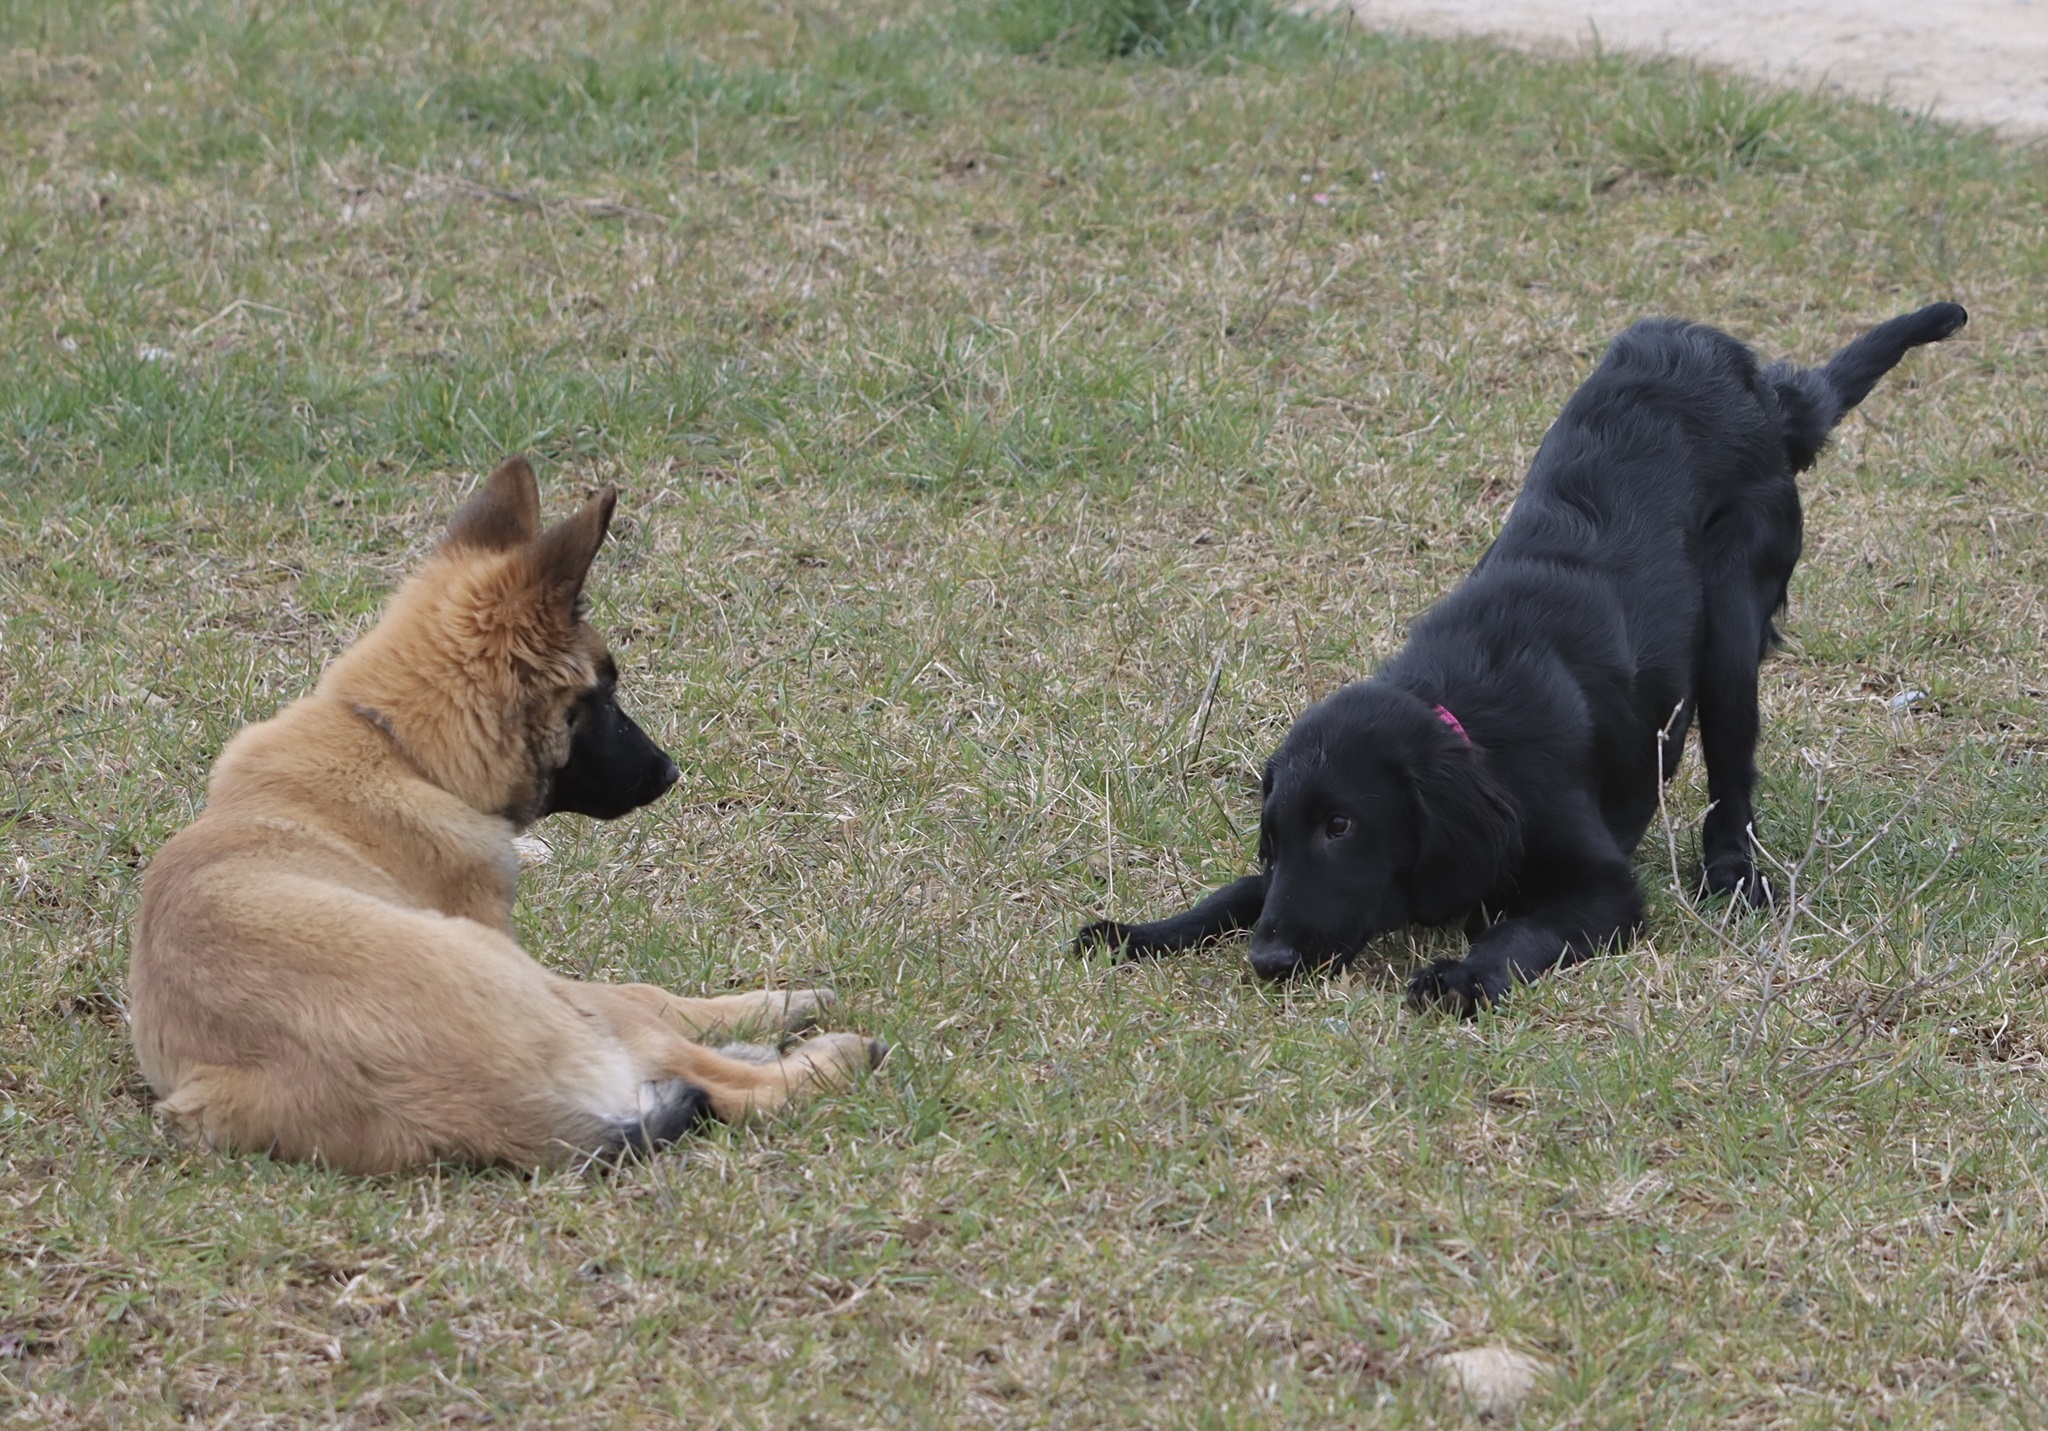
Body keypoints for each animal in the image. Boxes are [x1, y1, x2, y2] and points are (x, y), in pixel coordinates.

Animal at [129, 457, 885, 1171]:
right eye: (604, 694)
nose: (671, 771)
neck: (398, 748)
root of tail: (477, 1110)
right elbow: (652, 994)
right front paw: (780, 1003)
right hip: (523, 976)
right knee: (709, 1073)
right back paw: (830, 1054)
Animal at [1076, 304, 1967, 1014]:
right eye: (1273, 833)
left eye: (1342, 825)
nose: (1267, 958)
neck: (1465, 719)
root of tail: (1754, 380)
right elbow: (1237, 892)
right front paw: (1142, 929)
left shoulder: (1604, 885)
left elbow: (1523, 930)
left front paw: (1463, 974)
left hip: (1733, 622)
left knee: (1733, 772)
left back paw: (1732, 873)